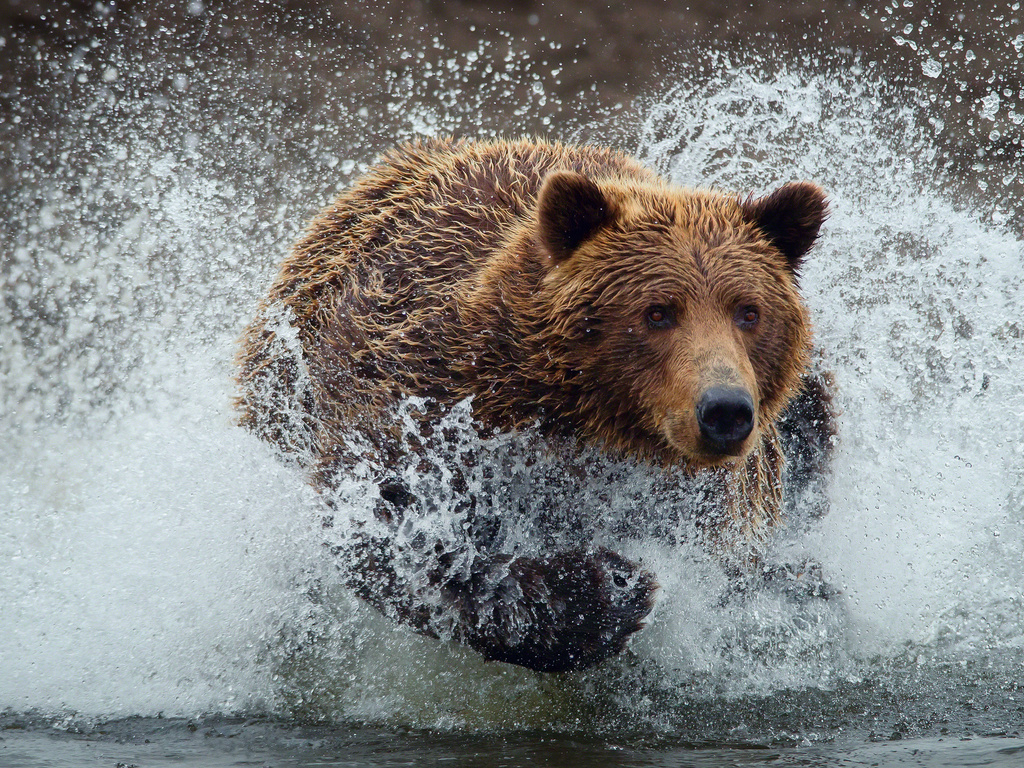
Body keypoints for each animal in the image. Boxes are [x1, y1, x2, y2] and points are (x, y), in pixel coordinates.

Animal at [235, 137, 835, 671]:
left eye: (749, 311)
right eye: (658, 311)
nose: (724, 410)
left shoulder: (710, 498)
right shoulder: (424, 395)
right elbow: (394, 526)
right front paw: (606, 588)